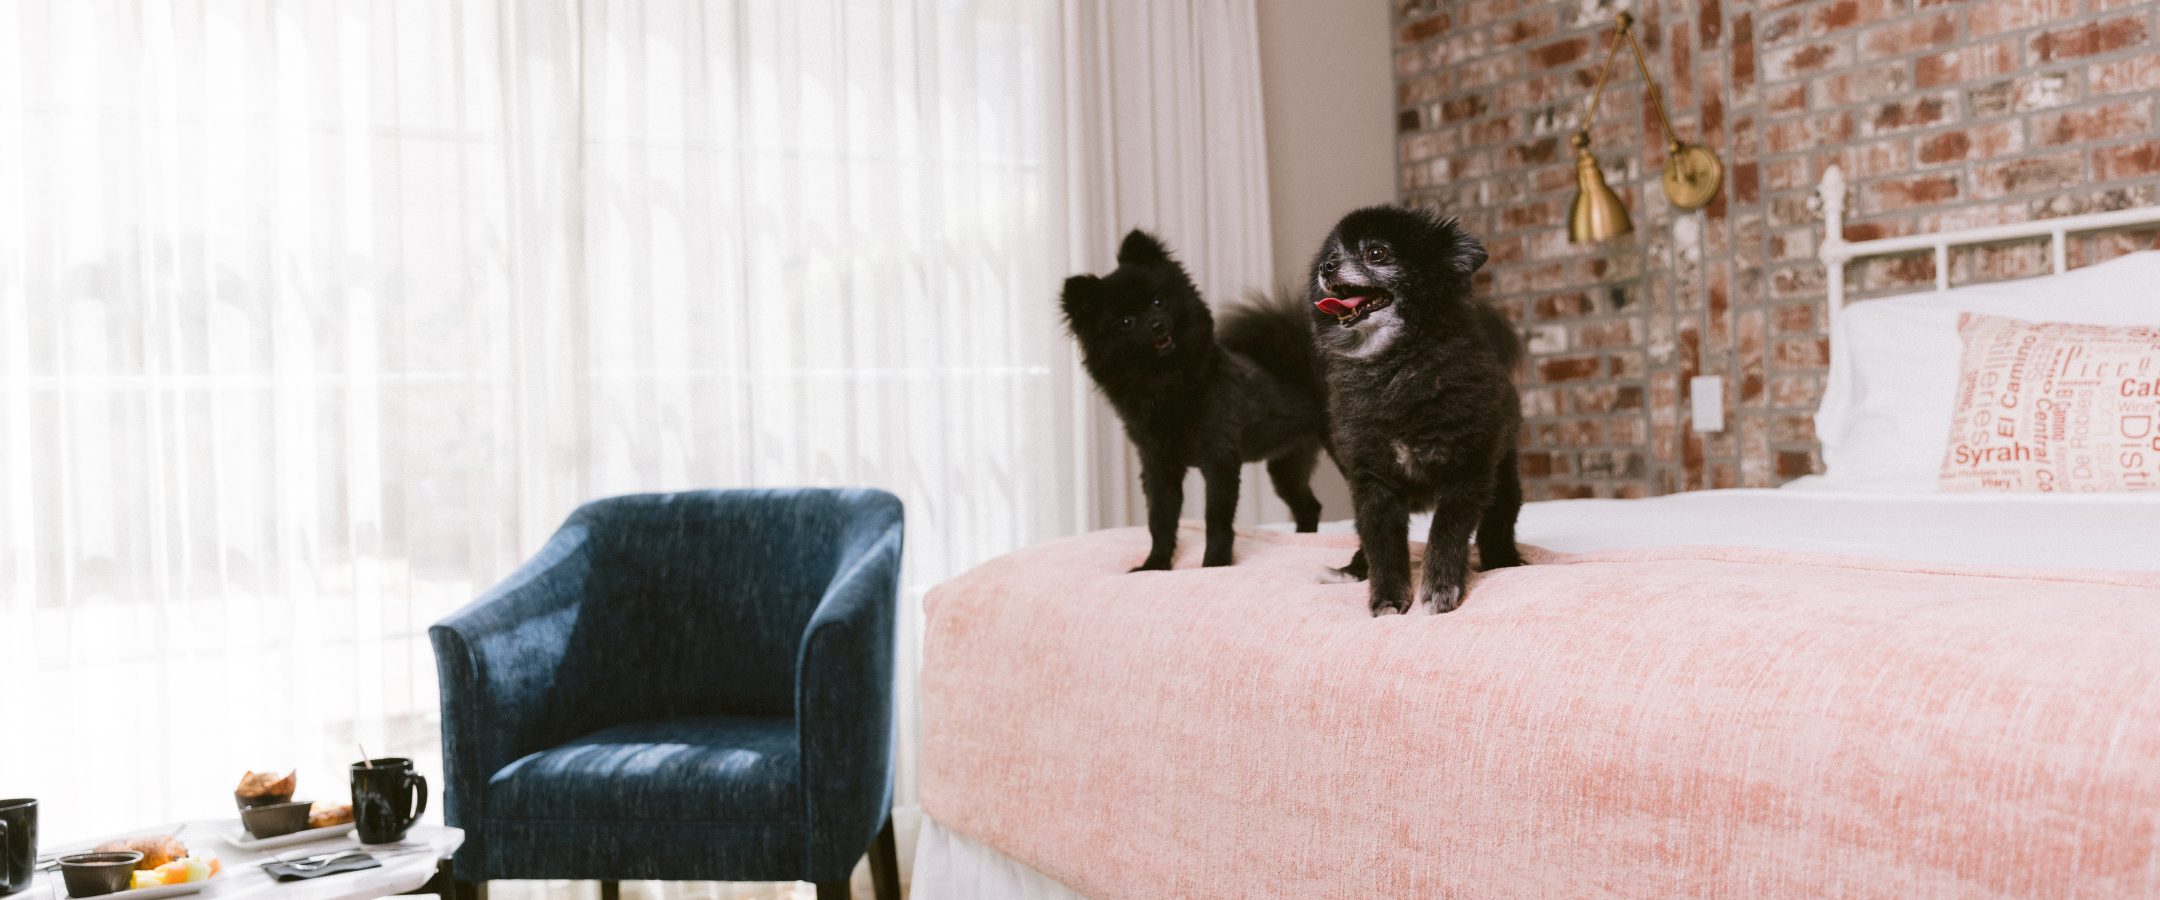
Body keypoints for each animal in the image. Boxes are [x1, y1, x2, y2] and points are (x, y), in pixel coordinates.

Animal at [1062, 230, 1330, 569]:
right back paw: (1303, 541)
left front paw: (1215, 564)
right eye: (1125, 322)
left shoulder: (1218, 461)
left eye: (1158, 301)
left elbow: (1215, 520)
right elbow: (1160, 521)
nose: (1156, 325)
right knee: (1308, 506)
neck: (1166, 382)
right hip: (1287, 463)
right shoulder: (1158, 467)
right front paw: (1155, 565)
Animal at [1304, 205, 1529, 608]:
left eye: (1376, 253)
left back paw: (1504, 559)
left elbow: (1446, 533)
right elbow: (1382, 544)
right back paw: (1353, 569)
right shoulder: (1372, 480)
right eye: (1331, 255)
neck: (1393, 367)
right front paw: (1388, 597)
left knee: (1497, 524)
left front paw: (1440, 587)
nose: (1327, 267)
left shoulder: (1466, 471)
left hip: (1503, 479)